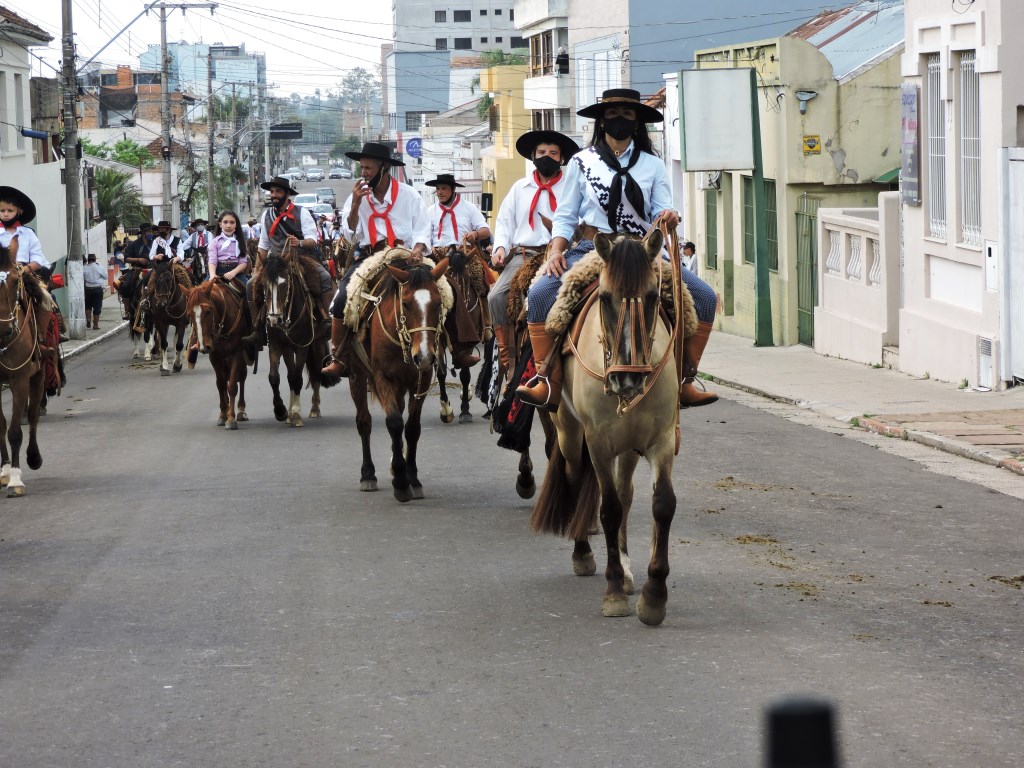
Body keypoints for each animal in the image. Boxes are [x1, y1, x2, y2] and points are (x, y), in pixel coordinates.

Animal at [186, 278, 247, 434]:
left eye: (208, 311)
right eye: (189, 314)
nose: (203, 346)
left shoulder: (237, 353)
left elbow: (232, 385)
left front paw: (231, 419)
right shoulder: (214, 356)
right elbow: (220, 384)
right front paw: (223, 415)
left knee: (242, 378)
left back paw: (241, 410)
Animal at [346, 252, 450, 501]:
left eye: (438, 303)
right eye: (405, 303)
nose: (424, 356)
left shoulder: (420, 380)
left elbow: (411, 428)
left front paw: (411, 476)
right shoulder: (382, 377)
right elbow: (393, 423)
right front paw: (401, 483)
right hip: (357, 375)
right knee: (364, 422)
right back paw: (368, 475)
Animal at [532, 228, 692, 626]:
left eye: (653, 297)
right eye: (605, 298)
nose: (626, 379)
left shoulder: (661, 439)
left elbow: (661, 504)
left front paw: (653, 597)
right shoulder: (599, 444)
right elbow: (608, 510)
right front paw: (614, 591)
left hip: (630, 446)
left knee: (625, 492)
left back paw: (626, 566)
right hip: (569, 432)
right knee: (577, 481)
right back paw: (583, 554)